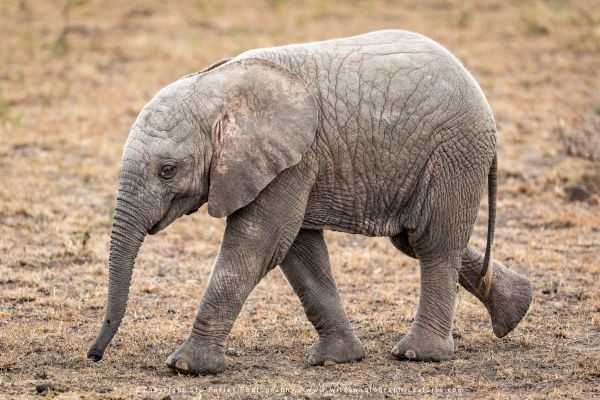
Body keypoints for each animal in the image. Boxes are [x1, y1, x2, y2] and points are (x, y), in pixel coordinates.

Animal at [88, 29, 528, 374]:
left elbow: (259, 242)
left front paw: (186, 366)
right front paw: (336, 359)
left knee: (432, 243)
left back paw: (418, 355)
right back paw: (516, 310)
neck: (218, 90)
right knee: (413, 239)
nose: (94, 355)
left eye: (167, 170)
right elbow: (297, 249)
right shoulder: (292, 163)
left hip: (453, 153)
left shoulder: (294, 160)